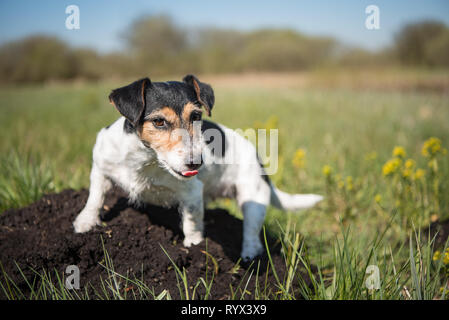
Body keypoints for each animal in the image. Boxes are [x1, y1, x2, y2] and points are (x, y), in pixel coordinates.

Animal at [72, 75, 320, 260]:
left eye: (196, 115)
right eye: (159, 121)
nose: (196, 162)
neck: (145, 159)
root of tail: (258, 158)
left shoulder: (191, 192)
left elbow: (192, 221)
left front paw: (194, 246)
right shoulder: (101, 170)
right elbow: (95, 198)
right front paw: (85, 223)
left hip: (253, 199)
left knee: (251, 232)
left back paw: (249, 255)